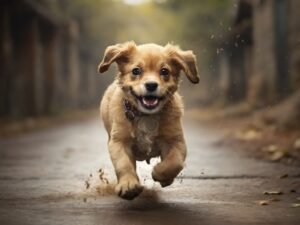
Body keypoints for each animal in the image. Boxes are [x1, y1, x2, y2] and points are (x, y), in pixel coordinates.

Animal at [98, 41, 199, 200]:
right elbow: (123, 164)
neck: (146, 115)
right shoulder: (118, 142)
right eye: (136, 71)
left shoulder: (176, 141)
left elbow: (174, 163)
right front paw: (128, 185)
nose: (151, 85)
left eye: (164, 71)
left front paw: (160, 174)